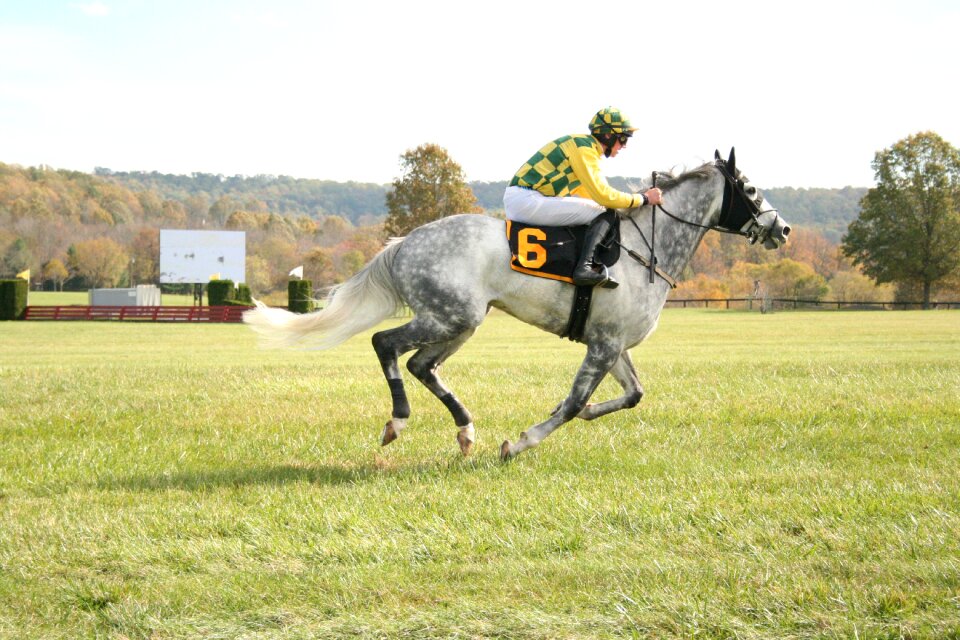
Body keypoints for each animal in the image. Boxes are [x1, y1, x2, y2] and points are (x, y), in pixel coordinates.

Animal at [244, 150, 792, 460]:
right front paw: (521, 441)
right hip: (450, 316)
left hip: (460, 322)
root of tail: (404, 242)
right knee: (386, 344)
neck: (647, 246)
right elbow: (571, 404)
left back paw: (465, 432)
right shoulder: (603, 345)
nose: (782, 228)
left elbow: (632, 395)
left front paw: (589, 413)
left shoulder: (612, 343)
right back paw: (398, 421)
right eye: (749, 187)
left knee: (422, 365)